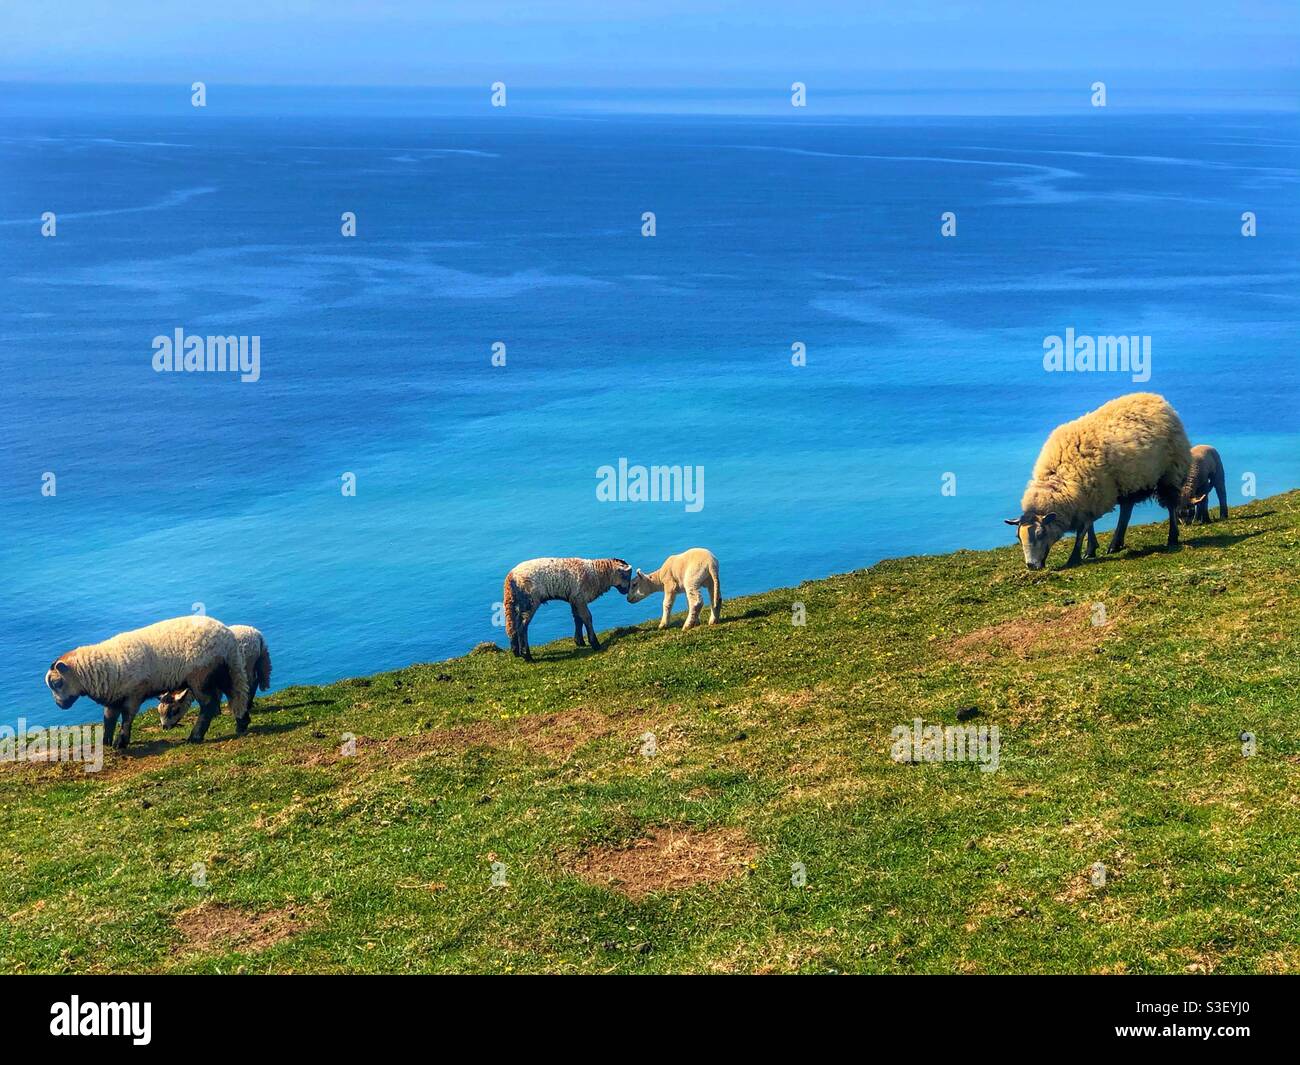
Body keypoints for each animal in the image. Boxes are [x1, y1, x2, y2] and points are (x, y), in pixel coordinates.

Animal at [44, 616, 249, 749]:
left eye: (56, 683)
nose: (60, 705)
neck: (104, 667)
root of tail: (228, 638)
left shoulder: (134, 694)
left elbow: (127, 718)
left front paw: (121, 742)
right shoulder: (114, 696)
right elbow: (108, 718)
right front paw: (106, 742)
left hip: (200, 675)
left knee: (208, 704)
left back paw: (196, 736)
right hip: (224, 671)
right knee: (237, 694)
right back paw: (242, 723)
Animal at [503, 557, 632, 661]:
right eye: (626, 575)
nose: (627, 591)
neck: (597, 574)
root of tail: (510, 578)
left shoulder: (574, 599)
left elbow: (577, 618)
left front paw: (579, 641)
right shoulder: (579, 597)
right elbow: (587, 618)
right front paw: (595, 644)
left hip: (517, 603)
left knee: (512, 625)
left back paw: (516, 651)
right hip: (530, 601)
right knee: (522, 627)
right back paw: (527, 656)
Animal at [1005, 392, 1191, 569]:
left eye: (1040, 534)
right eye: (1018, 537)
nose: (1031, 566)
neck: (1058, 480)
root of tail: (1157, 398)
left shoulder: (1092, 497)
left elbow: (1082, 530)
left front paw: (1075, 558)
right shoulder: (1087, 499)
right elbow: (1089, 528)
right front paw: (1090, 550)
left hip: (1170, 471)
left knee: (1170, 504)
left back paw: (1172, 538)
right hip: (1128, 482)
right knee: (1127, 509)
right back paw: (1115, 544)